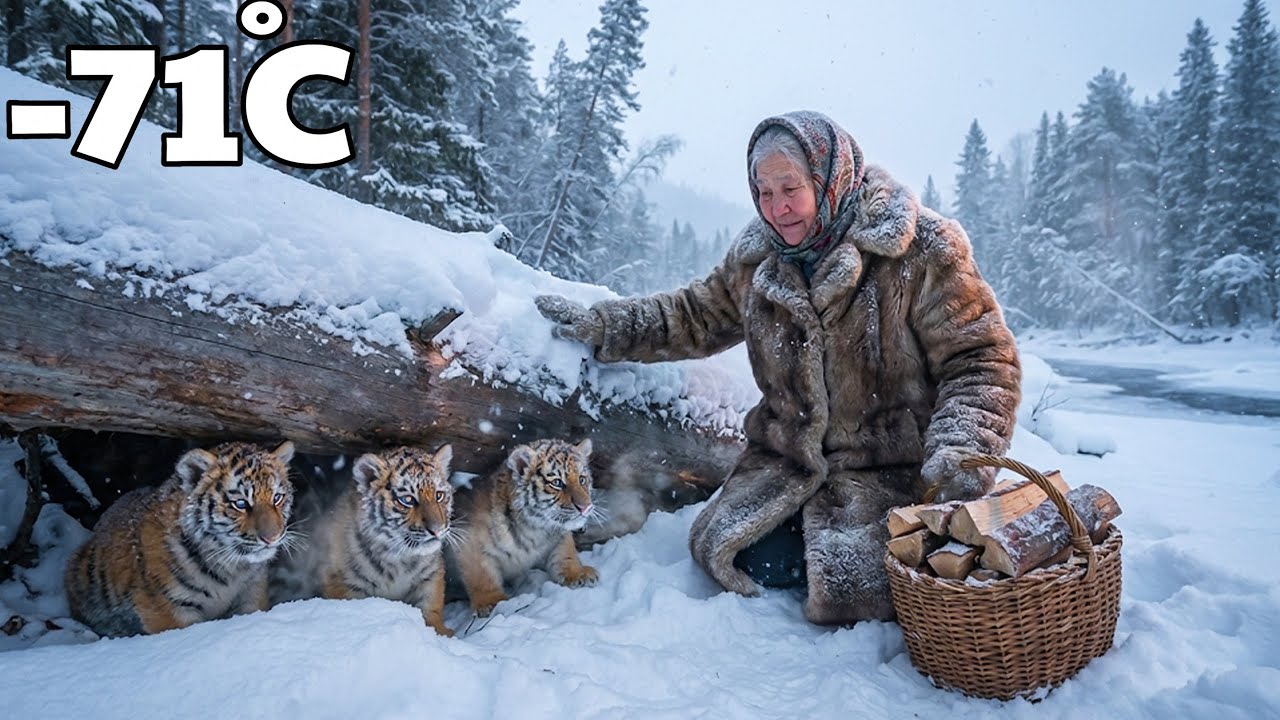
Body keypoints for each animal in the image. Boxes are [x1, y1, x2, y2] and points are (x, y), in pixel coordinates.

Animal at [64, 441, 296, 638]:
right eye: (240, 504)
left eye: (277, 498)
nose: (272, 537)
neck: (231, 569)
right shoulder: (166, 608)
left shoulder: (251, 593)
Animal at [317, 445, 456, 637]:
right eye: (408, 499)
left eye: (439, 496)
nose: (438, 530)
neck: (399, 558)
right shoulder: (341, 582)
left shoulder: (430, 577)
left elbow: (431, 607)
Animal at [445, 438, 599, 617]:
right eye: (557, 483)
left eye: (582, 479)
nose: (585, 507)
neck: (535, 528)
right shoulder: (469, 542)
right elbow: (481, 574)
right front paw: (491, 602)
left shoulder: (557, 535)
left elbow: (566, 553)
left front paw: (578, 574)